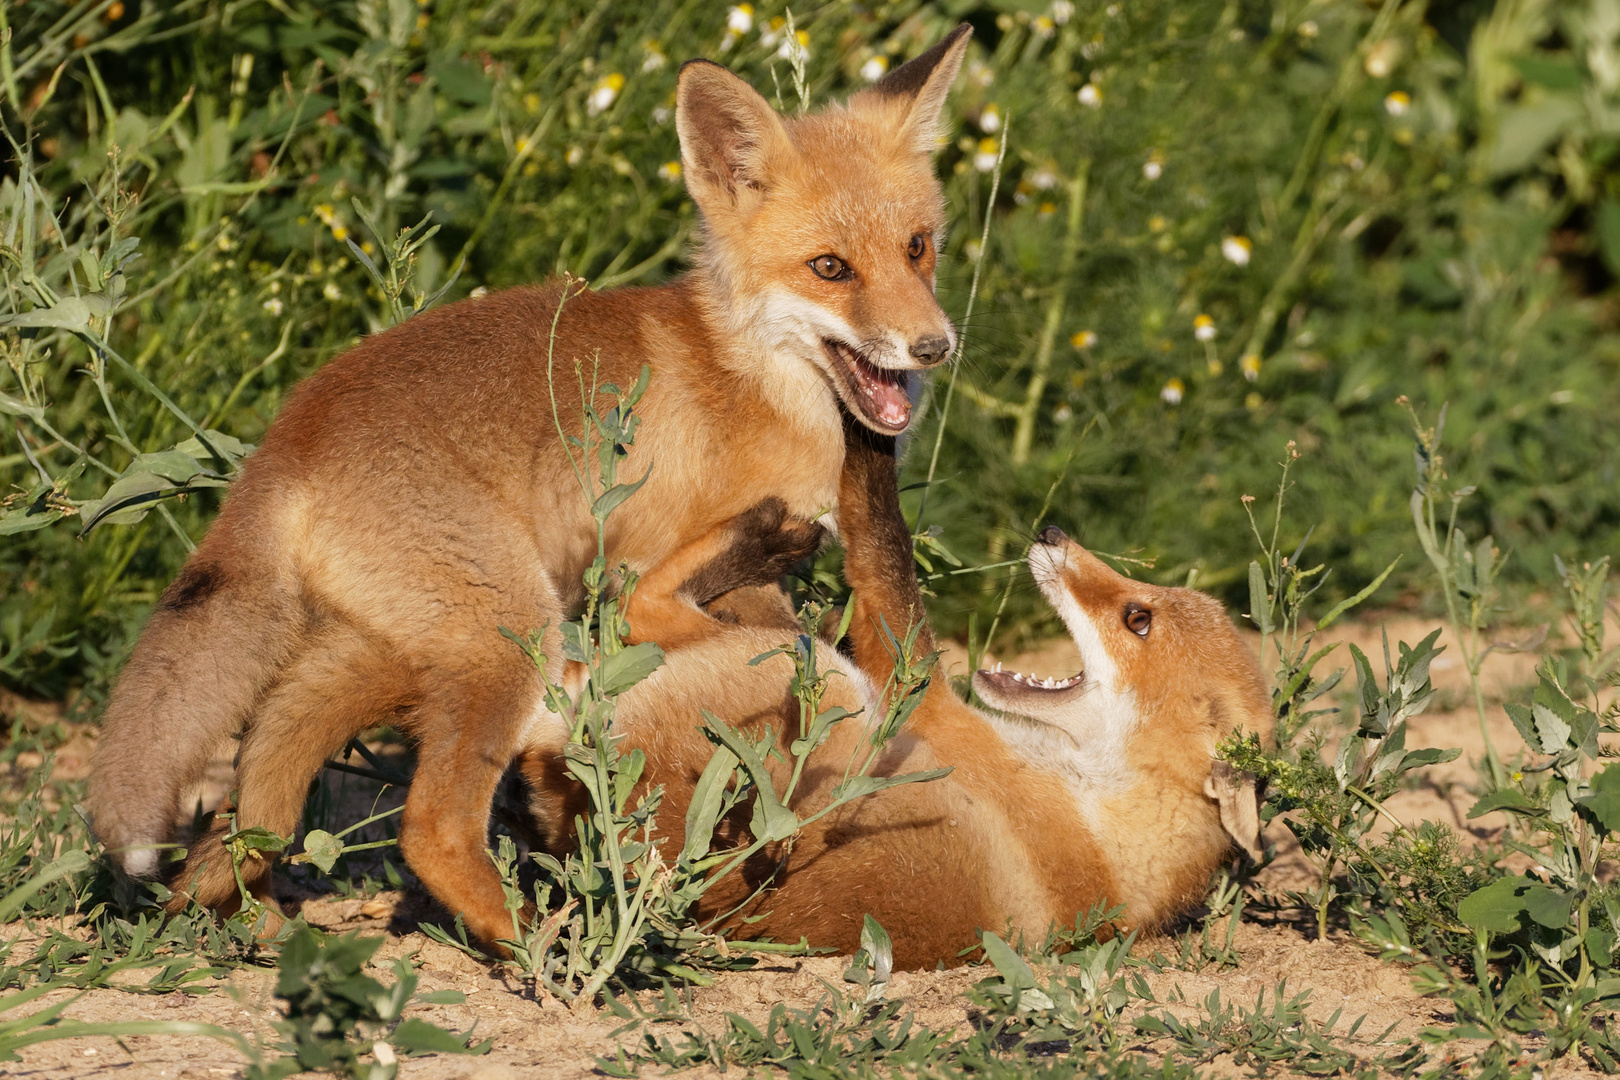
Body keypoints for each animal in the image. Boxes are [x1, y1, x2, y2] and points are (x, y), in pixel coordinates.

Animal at [82, 21, 972, 939]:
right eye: (830, 268)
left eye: (917, 247)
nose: (935, 346)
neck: (748, 378)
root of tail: (287, 439)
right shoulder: (649, 556)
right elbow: (749, 636)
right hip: (511, 635)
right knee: (430, 827)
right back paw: (539, 944)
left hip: (391, 645)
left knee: (263, 789)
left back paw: (247, 914)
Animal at [521, 424, 1276, 971]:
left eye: (1136, 618)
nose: (1053, 532)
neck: (1105, 824)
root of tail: (572, 789)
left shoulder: (924, 699)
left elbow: (888, 553)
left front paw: (872, 447)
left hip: (817, 676)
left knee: (638, 606)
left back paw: (763, 538)